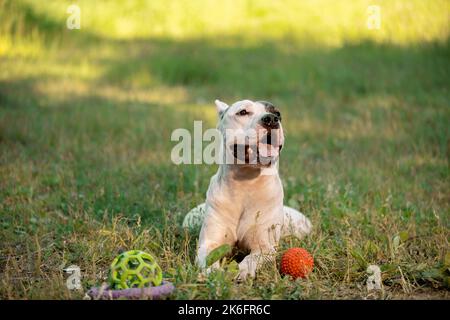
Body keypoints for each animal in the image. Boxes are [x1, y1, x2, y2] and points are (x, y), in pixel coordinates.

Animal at [185, 99, 312, 278]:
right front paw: (213, 273)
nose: (271, 119)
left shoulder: (264, 247)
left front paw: (243, 271)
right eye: (243, 112)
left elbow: (252, 259)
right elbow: (209, 257)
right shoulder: (209, 243)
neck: (246, 182)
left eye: (277, 114)